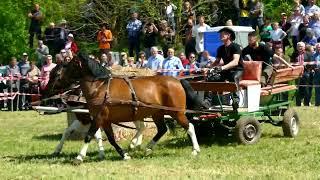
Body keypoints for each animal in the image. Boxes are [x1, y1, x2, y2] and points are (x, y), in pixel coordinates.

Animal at [46, 52, 201, 163]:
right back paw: (147, 148)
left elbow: (89, 136)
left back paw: (195, 150)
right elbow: (110, 139)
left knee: (190, 127)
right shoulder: (102, 120)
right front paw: (124, 155)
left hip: (177, 113)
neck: (99, 88)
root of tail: (178, 82)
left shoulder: (98, 117)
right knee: (162, 129)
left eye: (58, 72)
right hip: (157, 113)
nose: (46, 89)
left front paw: (79, 157)